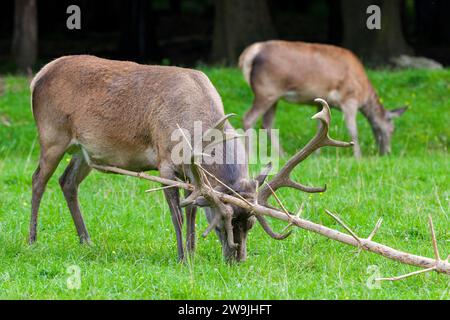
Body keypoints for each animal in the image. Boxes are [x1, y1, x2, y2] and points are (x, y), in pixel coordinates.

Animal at [30, 54, 292, 260]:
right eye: (219, 225)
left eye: (250, 225)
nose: (237, 260)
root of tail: (39, 75)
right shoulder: (165, 163)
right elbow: (178, 216)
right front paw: (182, 257)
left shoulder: (192, 175)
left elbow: (191, 211)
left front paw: (192, 252)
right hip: (52, 136)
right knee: (38, 180)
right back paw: (32, 240)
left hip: (85, 151)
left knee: (67, 181)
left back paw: (86, 241)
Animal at [239, 40, 408, 158]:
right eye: (392, 129)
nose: (386, 152)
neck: (364, 93)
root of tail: (249, 54)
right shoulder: (349, 98)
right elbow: (353, 130)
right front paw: (358, 156)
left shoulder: (322, 102)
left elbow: (319, 128)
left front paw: (316, 154)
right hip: (266, 90)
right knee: (248, 117)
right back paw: (250, 153)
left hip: (274, 97)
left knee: (267, 123)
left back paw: (282, 154)